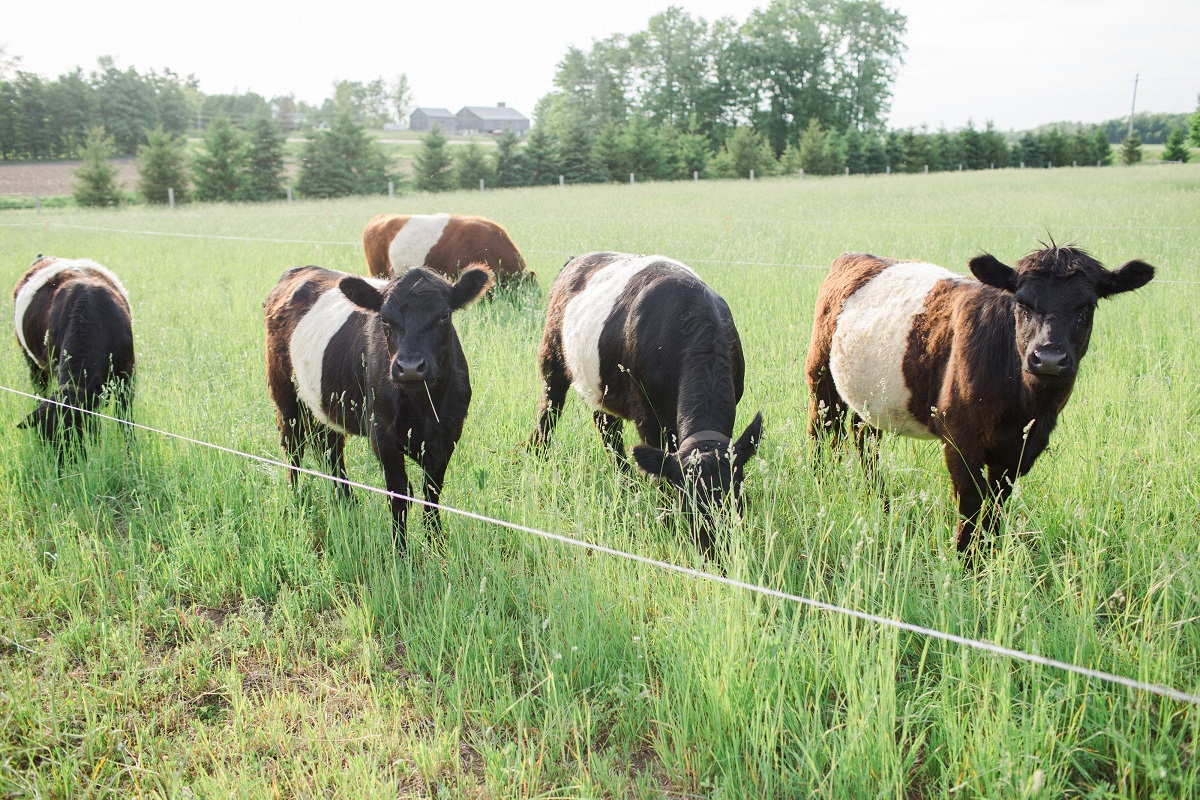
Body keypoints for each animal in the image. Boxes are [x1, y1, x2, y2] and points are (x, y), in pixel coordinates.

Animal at [11, 253, 135, 448]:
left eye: (79, 431)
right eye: (46, 438)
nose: (63, 458)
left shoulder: (127, 375)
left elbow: (125, 420)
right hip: (32, 361)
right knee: (39, 387)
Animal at [264, 262, 492, 551]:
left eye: (444, 316)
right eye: (384, 319)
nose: (410, 367)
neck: (422, 407)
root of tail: (300, 270)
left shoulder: (448, 434)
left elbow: (432, 491)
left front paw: (436, 543)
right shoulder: (383, 435)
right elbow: (399, 494)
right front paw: (401, 551)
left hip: (327, 404)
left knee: (329, 449)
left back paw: (347, 503)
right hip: (284, 393)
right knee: (293, 446)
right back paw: (297, 500)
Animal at [530, 251, 763, 556]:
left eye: (738, 500)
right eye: (687, 503)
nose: (714, 552)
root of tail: (578, 259)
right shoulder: (648, 418)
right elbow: (661, 469)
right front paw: (665, 519)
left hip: (606, 386)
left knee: (606, 426)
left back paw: (625, 479)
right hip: (552, 358)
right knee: (549, 410)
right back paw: (538, 454)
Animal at [806, 247, 1152, 561]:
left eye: (1087, 307)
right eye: (1022, 304)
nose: (1049, 358)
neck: (1025, 405)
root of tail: (855, 256)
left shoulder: (1022, 447)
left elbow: (997, 503)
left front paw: (986, 556)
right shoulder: (959, 436)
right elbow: (971, 499)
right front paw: (964, 560)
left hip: (876, 401)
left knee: (863, 437)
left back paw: (880, 501)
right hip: (821, 378)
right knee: (821, 431)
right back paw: (820, 484)